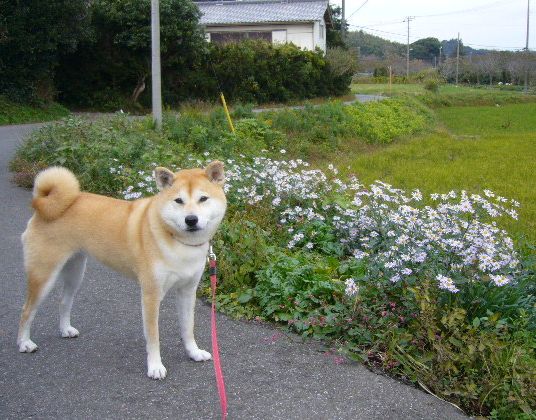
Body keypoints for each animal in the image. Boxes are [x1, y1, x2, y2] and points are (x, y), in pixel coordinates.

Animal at [16, 160, 226, 378]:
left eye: (203, 198)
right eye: (178, 200)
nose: (191, 219)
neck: (180, 243)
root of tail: (43, 205)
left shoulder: (187, 291)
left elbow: (187, 328)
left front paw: (193, 352)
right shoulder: (151, 295)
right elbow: (153, 336)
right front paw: (155, 366)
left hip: (76, 272)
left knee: (64, 302)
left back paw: (65, 330)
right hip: (43, 276)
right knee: (26, 310)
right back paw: (24, 343)